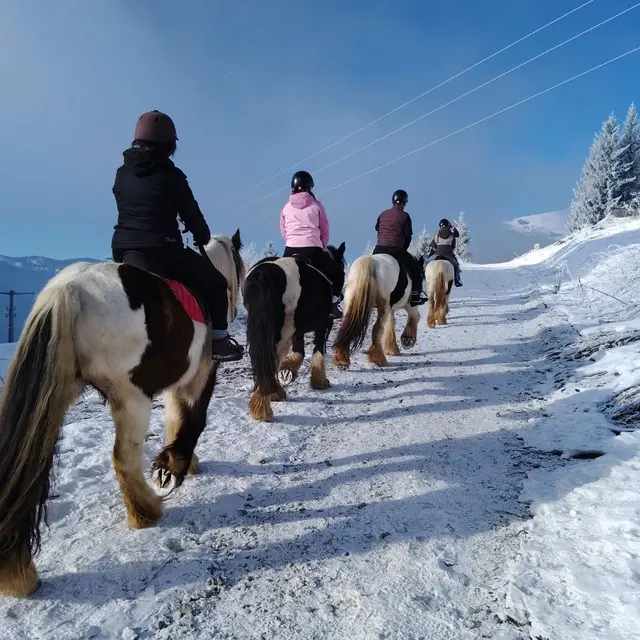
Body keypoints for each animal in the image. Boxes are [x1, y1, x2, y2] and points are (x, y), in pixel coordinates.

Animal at [0, 231, 245, 598]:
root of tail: (69, 289)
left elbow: (175, 417)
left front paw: (182, 461)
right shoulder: (201, 374)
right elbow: (194, 419)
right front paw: (175, 464)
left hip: (55, 395)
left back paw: (18, 572)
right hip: (131, 398)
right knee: (123, 458)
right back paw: (146, 511)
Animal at [243, 243, 346, 422]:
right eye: (343, 271)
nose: (340, 296)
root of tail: (263, 275)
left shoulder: (297, 330)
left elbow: (299, 351)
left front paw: (288, 369)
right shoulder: (325, 323)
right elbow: (318, 349)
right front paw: (320, 381)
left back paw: (269, 398)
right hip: (281, 332)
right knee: (270, 361)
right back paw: (263, 407)